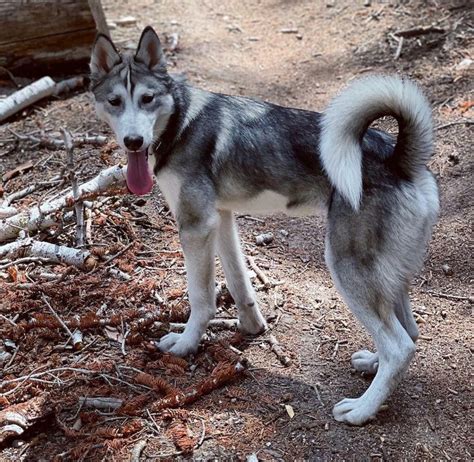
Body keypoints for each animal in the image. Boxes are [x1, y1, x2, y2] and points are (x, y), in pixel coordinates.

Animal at [90, 24, 440, 422]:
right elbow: (239, 283)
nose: (134, 141)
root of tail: (400, 158)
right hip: (388, 275)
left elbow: (200, 298)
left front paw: (186, 343)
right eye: (115, 101)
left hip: (347, 266)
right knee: (410, 332)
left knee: (400, 347)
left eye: (147, 99)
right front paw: (251, 328)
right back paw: (372, 365)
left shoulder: (195, 226)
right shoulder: (221, 220)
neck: (181, 120)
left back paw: (362, 409)